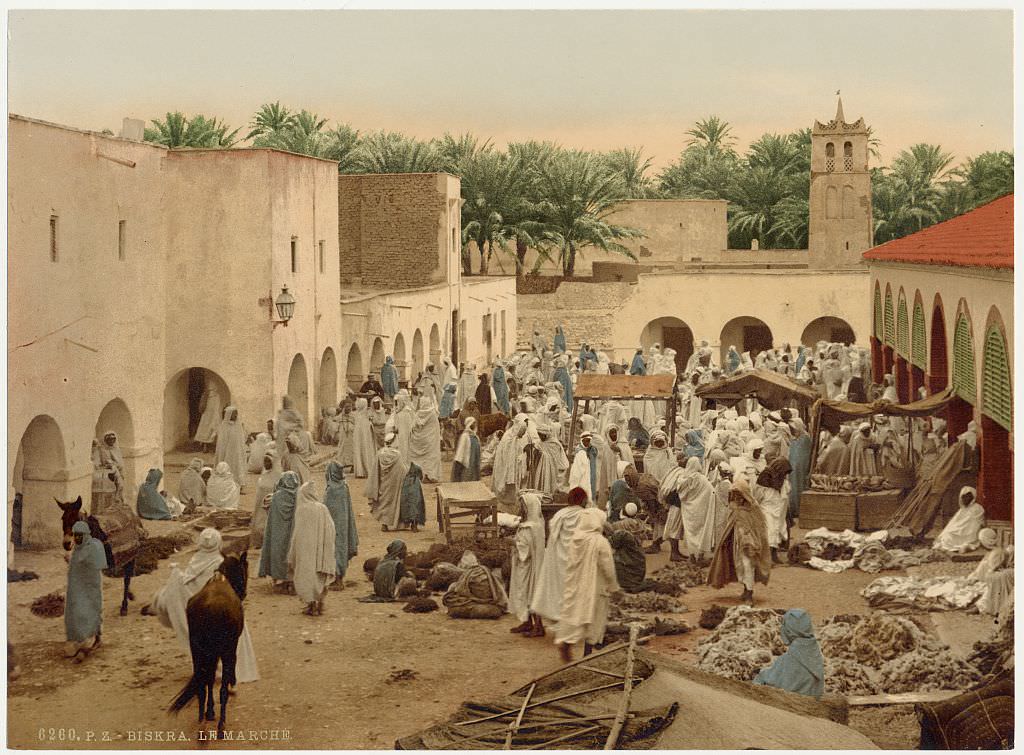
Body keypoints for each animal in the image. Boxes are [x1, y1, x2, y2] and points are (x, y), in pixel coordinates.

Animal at [169, 549, 247, 737]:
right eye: (244, 570)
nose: (244, 594)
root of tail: (211, 607)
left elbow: (209, 680)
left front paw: (209, 712)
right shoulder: (229, 648)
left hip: (198, 652)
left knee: (201, 684)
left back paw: (202, 722)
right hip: (222, 651)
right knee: (221, 688)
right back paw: (221, 725)